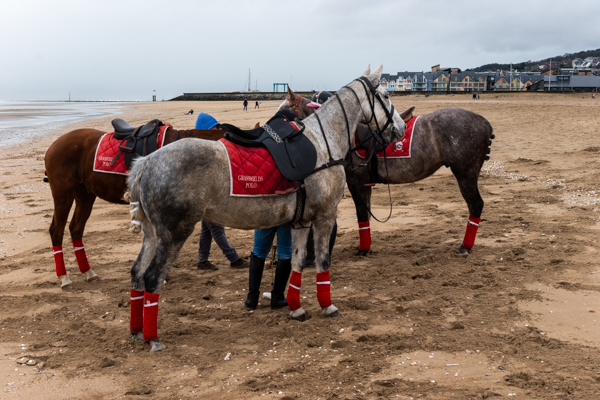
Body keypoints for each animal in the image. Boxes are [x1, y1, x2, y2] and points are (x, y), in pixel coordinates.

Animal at [44, 125, 224, 290]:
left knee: (76, 229)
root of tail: (53, 145)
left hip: (85, 195)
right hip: (63, 195)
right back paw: (64, 278)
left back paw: (88, 272)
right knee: (56, 230)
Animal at [125, 65, 405, 352]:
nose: (401, 128)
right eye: (385, 95)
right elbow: (322, 261)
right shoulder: (325, 216)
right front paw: (327, 306)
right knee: (152, 278)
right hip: (174, 234)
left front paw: (295, 307)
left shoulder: (302, 222)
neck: (322, 141)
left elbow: (296, 262)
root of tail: (146, 162)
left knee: (137, 273)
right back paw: (153, 337)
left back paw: (137, 331)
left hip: (153, 234)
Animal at [280, 78, 494, 257]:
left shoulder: (356, 182)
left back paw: (465, 246)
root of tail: (483, 121)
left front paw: (363, 249)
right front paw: (366, 247)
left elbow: (361, 213)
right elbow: (365, 215)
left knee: (476, 205)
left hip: (465, 174)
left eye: (286, 109)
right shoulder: (363, 184)